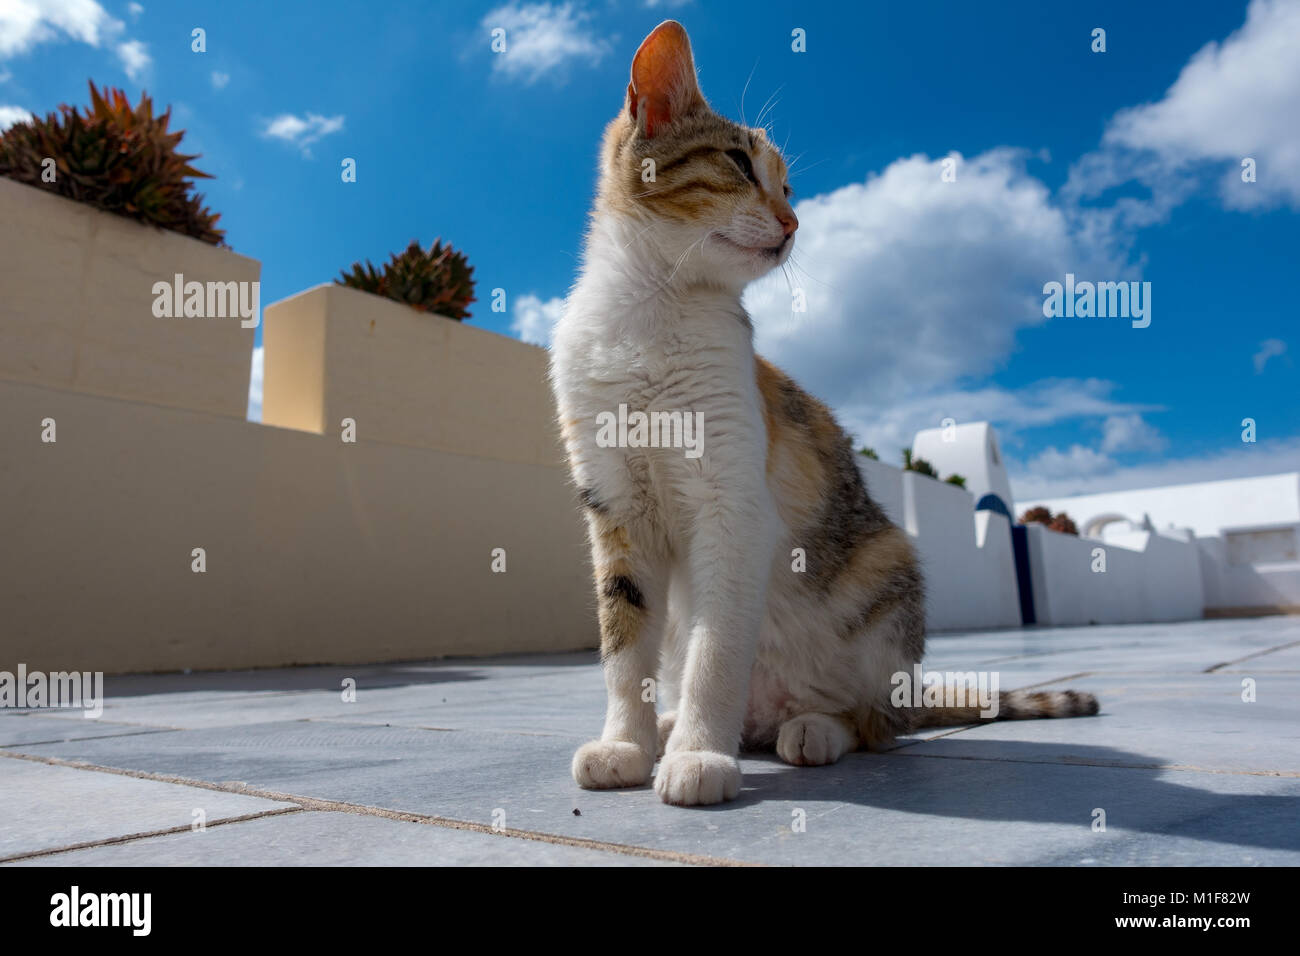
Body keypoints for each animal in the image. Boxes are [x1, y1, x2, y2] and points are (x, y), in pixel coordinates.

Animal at [548, 18, 1097, 806]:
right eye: (739, 164)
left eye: (788, 185)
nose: (794, 220)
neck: (649, 316)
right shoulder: (617, 509)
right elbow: (624, 646)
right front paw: (625, 742)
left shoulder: (734, 504)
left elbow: (717, 645)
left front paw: (698, 757)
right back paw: (677, 725)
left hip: (889, 570)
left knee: (877, 724)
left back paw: (810, 729)